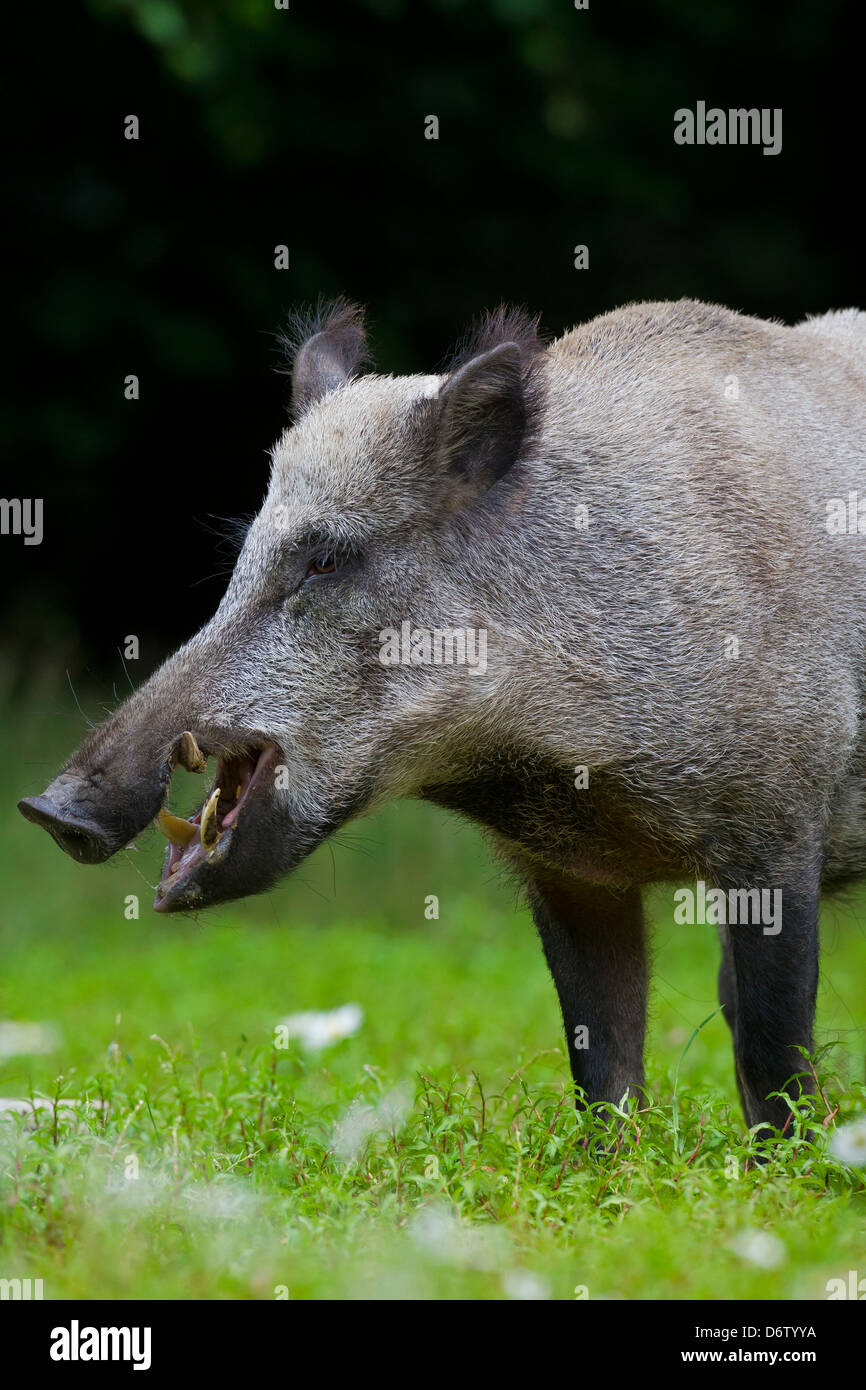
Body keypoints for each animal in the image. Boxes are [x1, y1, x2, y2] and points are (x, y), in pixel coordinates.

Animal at [19, 298, 866, 1134]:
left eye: (326, 559)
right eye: (243, 559)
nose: (51, 810)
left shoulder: (780, 820)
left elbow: (771, 1043)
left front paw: (783, 1162)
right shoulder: (568, 874)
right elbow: (600, 1059)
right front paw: (611, 1161)